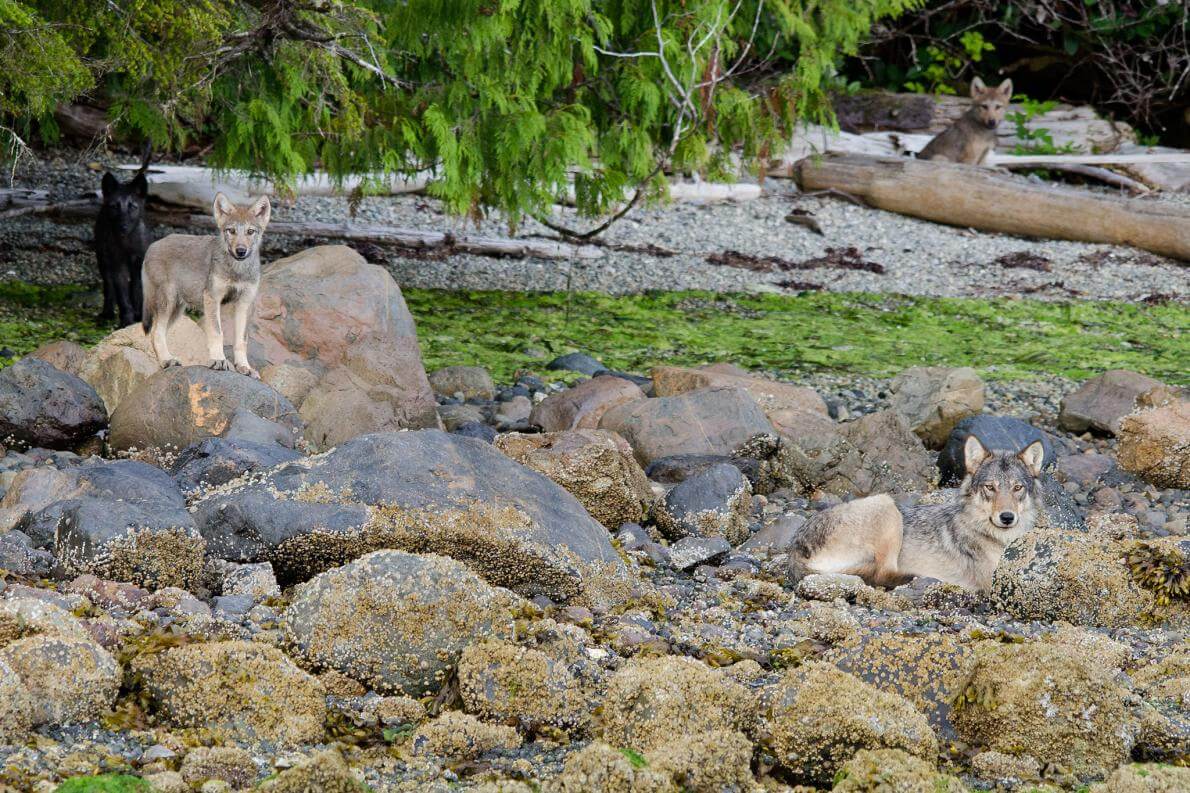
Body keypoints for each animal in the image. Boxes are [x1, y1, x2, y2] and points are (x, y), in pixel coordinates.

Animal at [141, 191, 270, 376]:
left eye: (250, 231)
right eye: (231, 231)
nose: (240, 251)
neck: (237, 270)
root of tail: (152, 246)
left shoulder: (245, 303)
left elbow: (241, 340)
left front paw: (244, 367)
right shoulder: (212, 298)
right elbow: (217, 333)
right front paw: (219, 360)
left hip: (177, 310)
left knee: (156, 333)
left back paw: (165, 361)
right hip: (168, 302)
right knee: (155, 333)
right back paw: (167, 360)